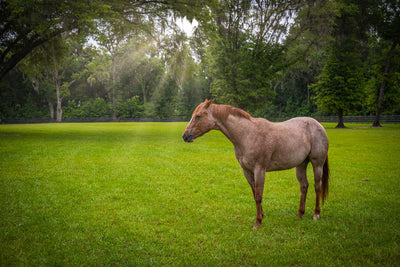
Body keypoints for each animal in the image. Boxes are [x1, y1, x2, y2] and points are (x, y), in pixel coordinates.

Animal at [183, 99, 330, 229]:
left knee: (317, 186)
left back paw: (316, 214)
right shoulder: (247, 171)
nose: (185, 136)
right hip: (301, 164)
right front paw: (261, 215)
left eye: (198, 116)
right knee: (304, 186)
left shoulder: (259, 170)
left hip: (317, 164)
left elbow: (259, 196)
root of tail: (318, 125)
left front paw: (257, 222)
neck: (247, 135)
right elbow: (255, 194)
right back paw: (300, 214)